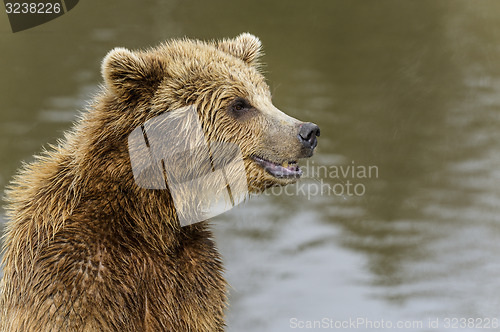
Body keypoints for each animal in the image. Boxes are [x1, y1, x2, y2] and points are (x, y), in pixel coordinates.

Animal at [0, 32, 320, 330]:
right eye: (239, 104)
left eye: (266, 96)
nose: (308, 132)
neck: (149, 219)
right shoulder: (74, 276)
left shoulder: (193, 276)